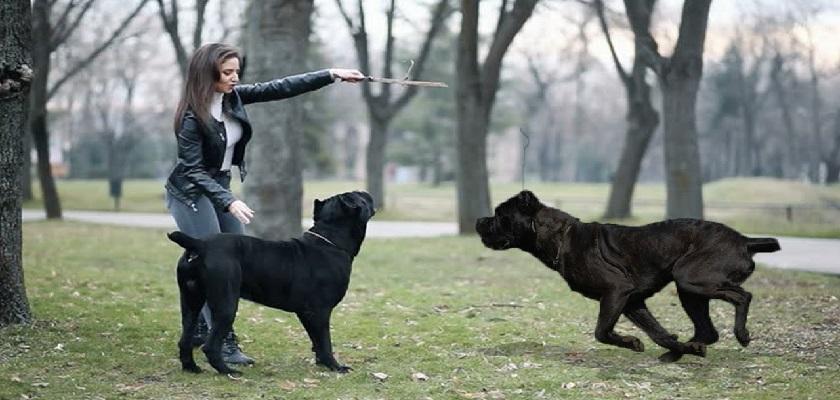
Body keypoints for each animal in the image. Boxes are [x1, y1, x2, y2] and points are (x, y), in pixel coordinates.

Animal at [167, 191, 374, 376]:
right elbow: (325, 341)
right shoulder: (320, 311)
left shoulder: (307, 313)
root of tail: (200, 245)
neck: (330, 241)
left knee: (185, 339)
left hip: (191, 301)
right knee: (210, 346)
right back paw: (228, 371)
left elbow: (317, 341)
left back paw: (191, 368)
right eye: (359, 196)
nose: (366, 192)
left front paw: (321, 363)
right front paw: (335, 366)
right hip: (225, 305)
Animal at [476, 191, 784, 362]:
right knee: (708, 331)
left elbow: (602, 332)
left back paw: (741, 334)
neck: (560, 238)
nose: (479, 221)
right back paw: (685, 349)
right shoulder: (633, 302)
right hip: (690, 292)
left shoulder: (616, 292)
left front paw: (633, 343)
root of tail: (744, 240)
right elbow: (659, 333)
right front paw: (680, 349)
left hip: (692, 279)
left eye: (500, 214)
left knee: (743, 296)